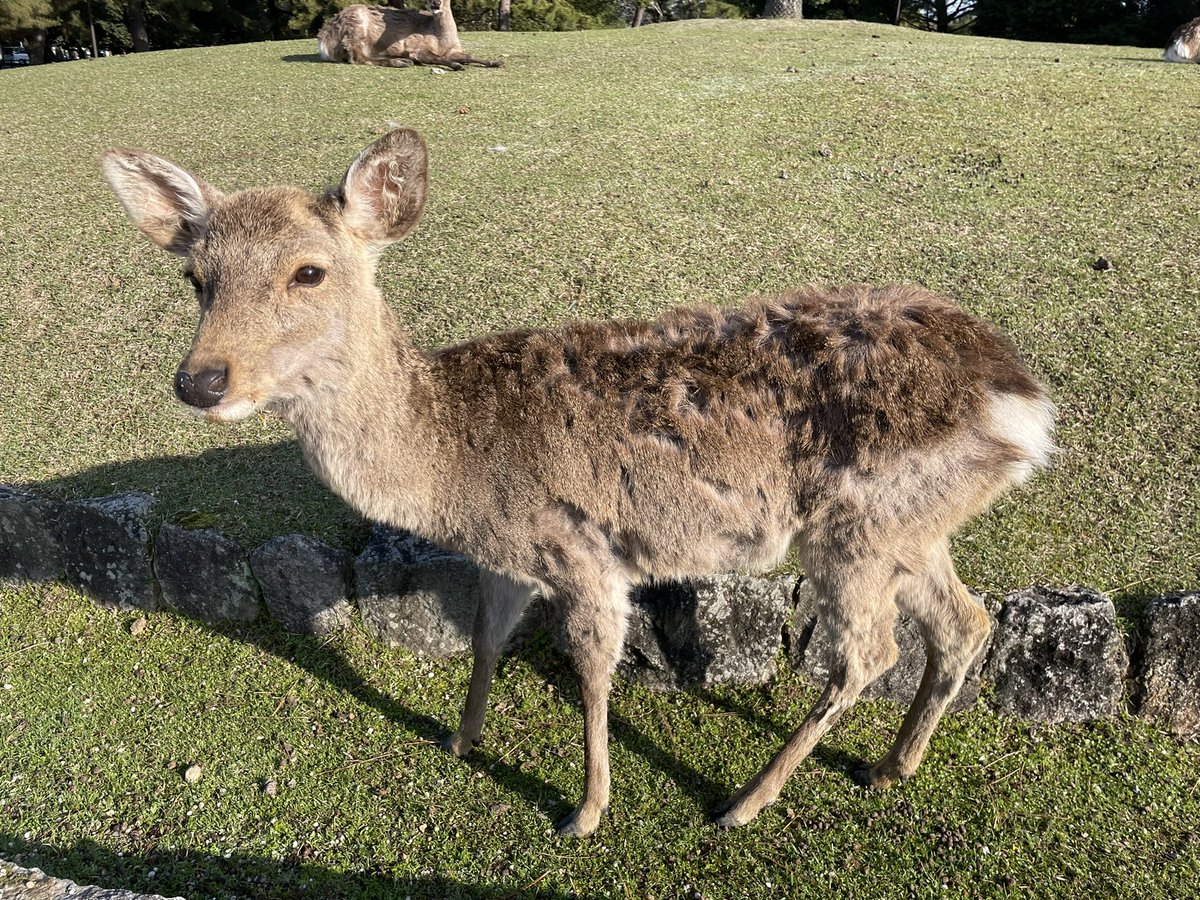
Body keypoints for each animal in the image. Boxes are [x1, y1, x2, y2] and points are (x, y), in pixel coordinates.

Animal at [101, 128, 1055, 837]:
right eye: (195, 278)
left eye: (309, 270)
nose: (201, 381)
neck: (454, 471)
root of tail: (1023, 402)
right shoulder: (507, 555)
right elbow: (486, 639)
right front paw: (462, 740)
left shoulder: (581, 548)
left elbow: (593, 671)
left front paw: (585, 810)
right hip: (915, 526)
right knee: (964, 624)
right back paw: (892, 766)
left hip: (855, 529)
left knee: (871, 652)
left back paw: (745, 801)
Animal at [317, 0, 500, 70]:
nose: (436, 3)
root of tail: (324, 38)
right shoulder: (416, 46)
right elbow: (436, 58)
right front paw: (456, 65)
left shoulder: (453, 49)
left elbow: (468, 55)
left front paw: (496, 62)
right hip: (356, 28)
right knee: (357, 57)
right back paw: (401, 62)